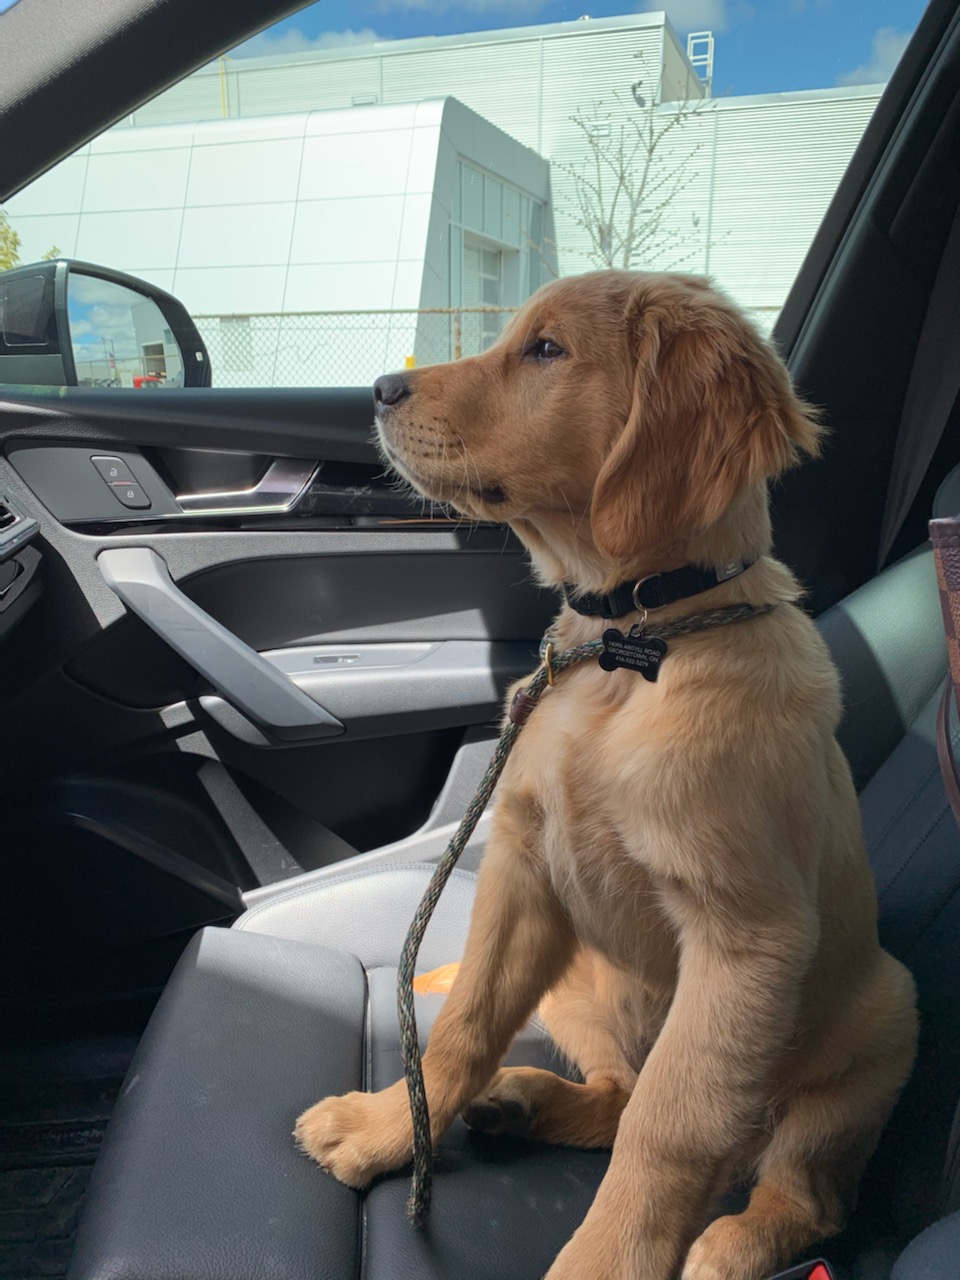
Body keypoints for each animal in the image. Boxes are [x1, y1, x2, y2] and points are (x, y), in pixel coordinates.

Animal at [295, 271, 918, 1280]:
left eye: (547, 350)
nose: (381, 390)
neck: (632, 646)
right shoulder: (520, 868)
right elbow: (465, 1023)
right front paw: (389, 1127)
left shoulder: (746, 940)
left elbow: (671, 1126)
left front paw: (605, 1262)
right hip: (576, 984)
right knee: (620, 1090)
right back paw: (523, 1101)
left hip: (880, 1027)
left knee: (805, 1189)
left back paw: (735, 1241)